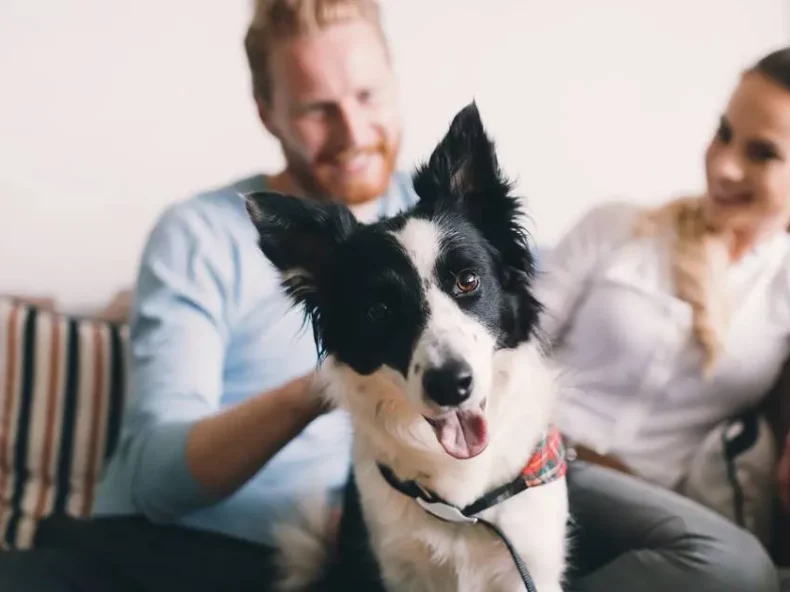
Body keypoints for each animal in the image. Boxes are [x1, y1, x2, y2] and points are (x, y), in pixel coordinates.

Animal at [246, 103, 568, 592]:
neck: (463, 507)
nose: (451, 385)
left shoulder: (530, 563)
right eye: (379, 311)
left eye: (468, 280)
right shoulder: (396, 566)